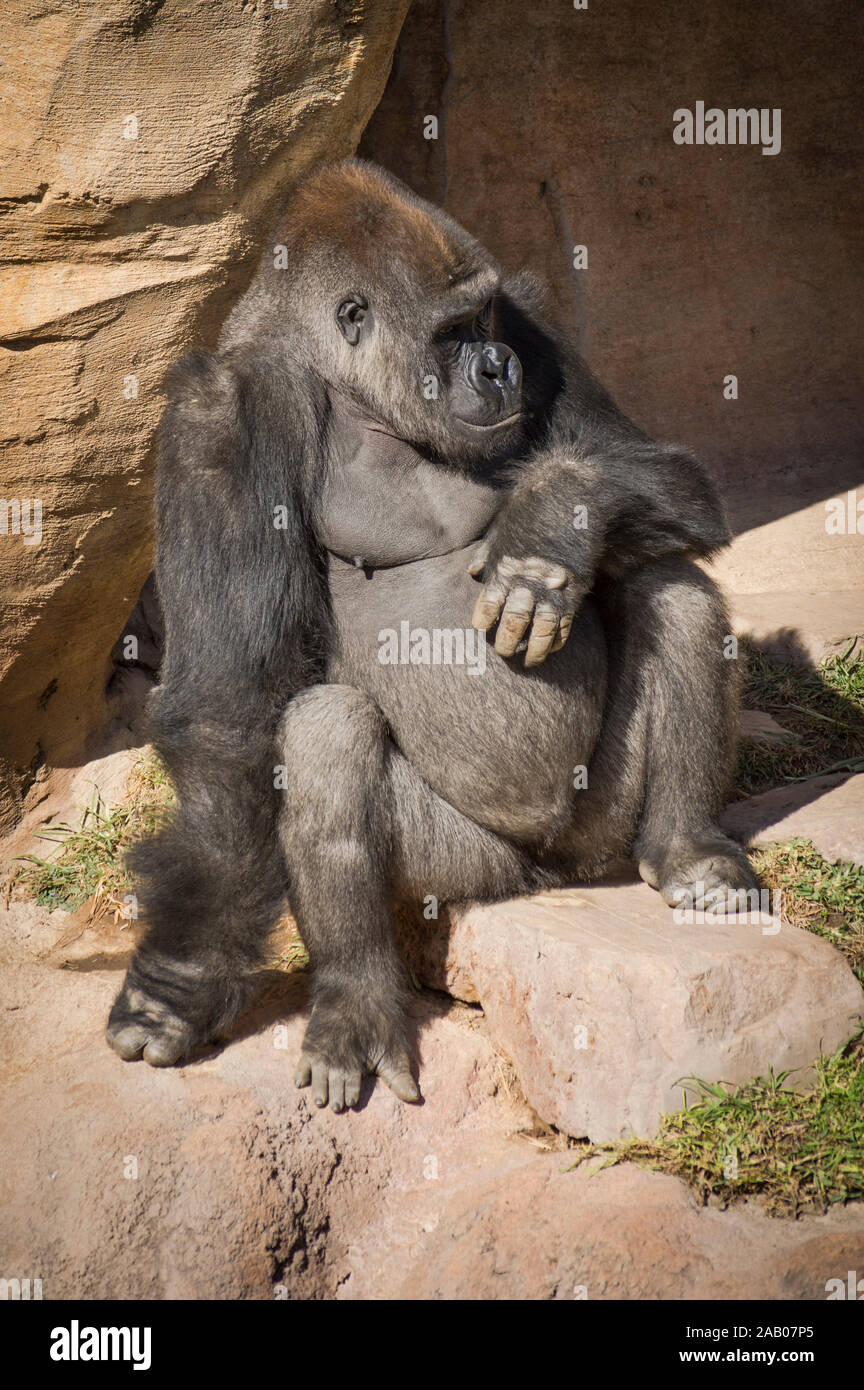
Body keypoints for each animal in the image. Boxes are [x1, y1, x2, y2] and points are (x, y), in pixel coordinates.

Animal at [106, 159, 755, 1106]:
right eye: (451, 335)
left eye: (484, 322)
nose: (498, 367)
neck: (349, 388)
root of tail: (544, 875)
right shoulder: (217, 420)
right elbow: (231, 706)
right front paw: (183, 975)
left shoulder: (533, 319)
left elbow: (670, 476)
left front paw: (549, 523)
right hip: (460, 872)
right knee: (325, 731)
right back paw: (357, 999)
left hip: (595, 827)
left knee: (669, 587)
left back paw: (689, 849)